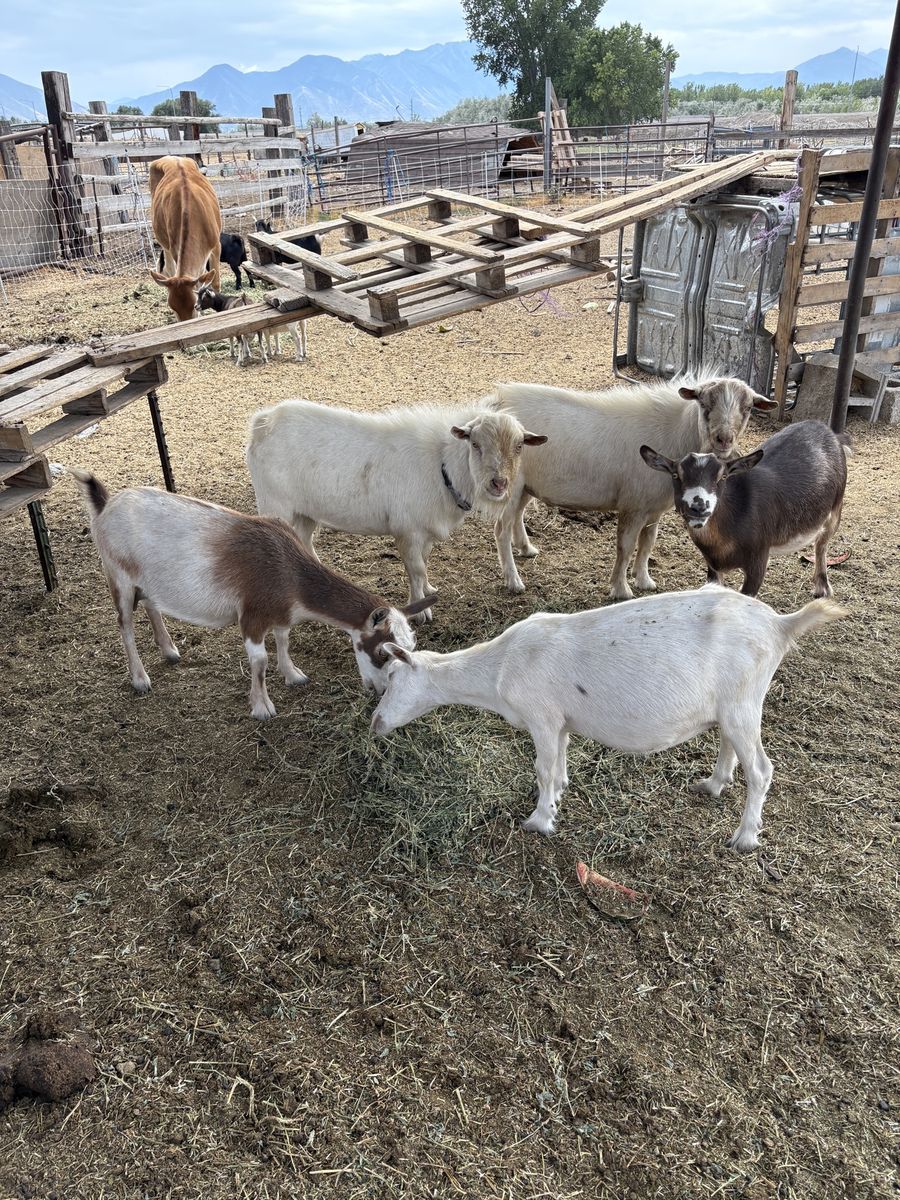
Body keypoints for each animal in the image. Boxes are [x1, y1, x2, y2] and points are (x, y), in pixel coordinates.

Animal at [71, 469, 433, 719]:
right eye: (383, 652)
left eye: (411, 647)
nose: (382, 691)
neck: (290, 572)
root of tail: (106, 505)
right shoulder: (252, 616)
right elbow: (259, 662)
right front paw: (262, 708)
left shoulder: (282, 613)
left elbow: (284, 640)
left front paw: (293, 675)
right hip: (117, 575)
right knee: (125, 625)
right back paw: (140, 679)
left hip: (146, 580)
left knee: (151, 605)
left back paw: (170, 651)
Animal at [246, 400, 547, 621]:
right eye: (474, 444)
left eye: (519, 446)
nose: (499, 483)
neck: (441, 464)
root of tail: (263, 422)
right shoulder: (408, 530)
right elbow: (416, 568)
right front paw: (422, 612)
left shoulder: (424, 531)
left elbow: (422, 564)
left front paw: (425, 592)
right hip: (275, 504)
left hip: (306, 512)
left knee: (304, 541)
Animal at [371, 587, 846, 850]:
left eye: (391, 677)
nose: (375, 724)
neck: (500, 666)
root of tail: (780, 625)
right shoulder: (560, 720)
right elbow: (559, 761)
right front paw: (560, 793)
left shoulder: (542, 716)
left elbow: (542, 768)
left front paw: (539, 820)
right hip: (733, 703)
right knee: (731, 743)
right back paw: (713, 784)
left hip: (745, 699)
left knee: (762, 769)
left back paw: (745, 838)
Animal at [489, 375, 776, 600]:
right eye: (704, 403)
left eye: (748, 407)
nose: (723, 440)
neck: (675, 435)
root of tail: (496, 403)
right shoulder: (633, 505)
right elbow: (626, 546)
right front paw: (621, 589)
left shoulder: (654, 508)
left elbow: (648, 543)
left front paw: (644, 580)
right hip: (510, 484)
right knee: (501, 529)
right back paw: (513, 581)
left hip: (526, 486)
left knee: (517, 516)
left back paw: (526, 549)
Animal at [641, 420, 852, 598]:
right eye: (676, 475)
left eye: (723, 477)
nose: (698, 506)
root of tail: (828, 431)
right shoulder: (713, 566)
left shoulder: (758, 559)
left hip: (836, 508)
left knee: (822, 544)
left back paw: (822, 588)